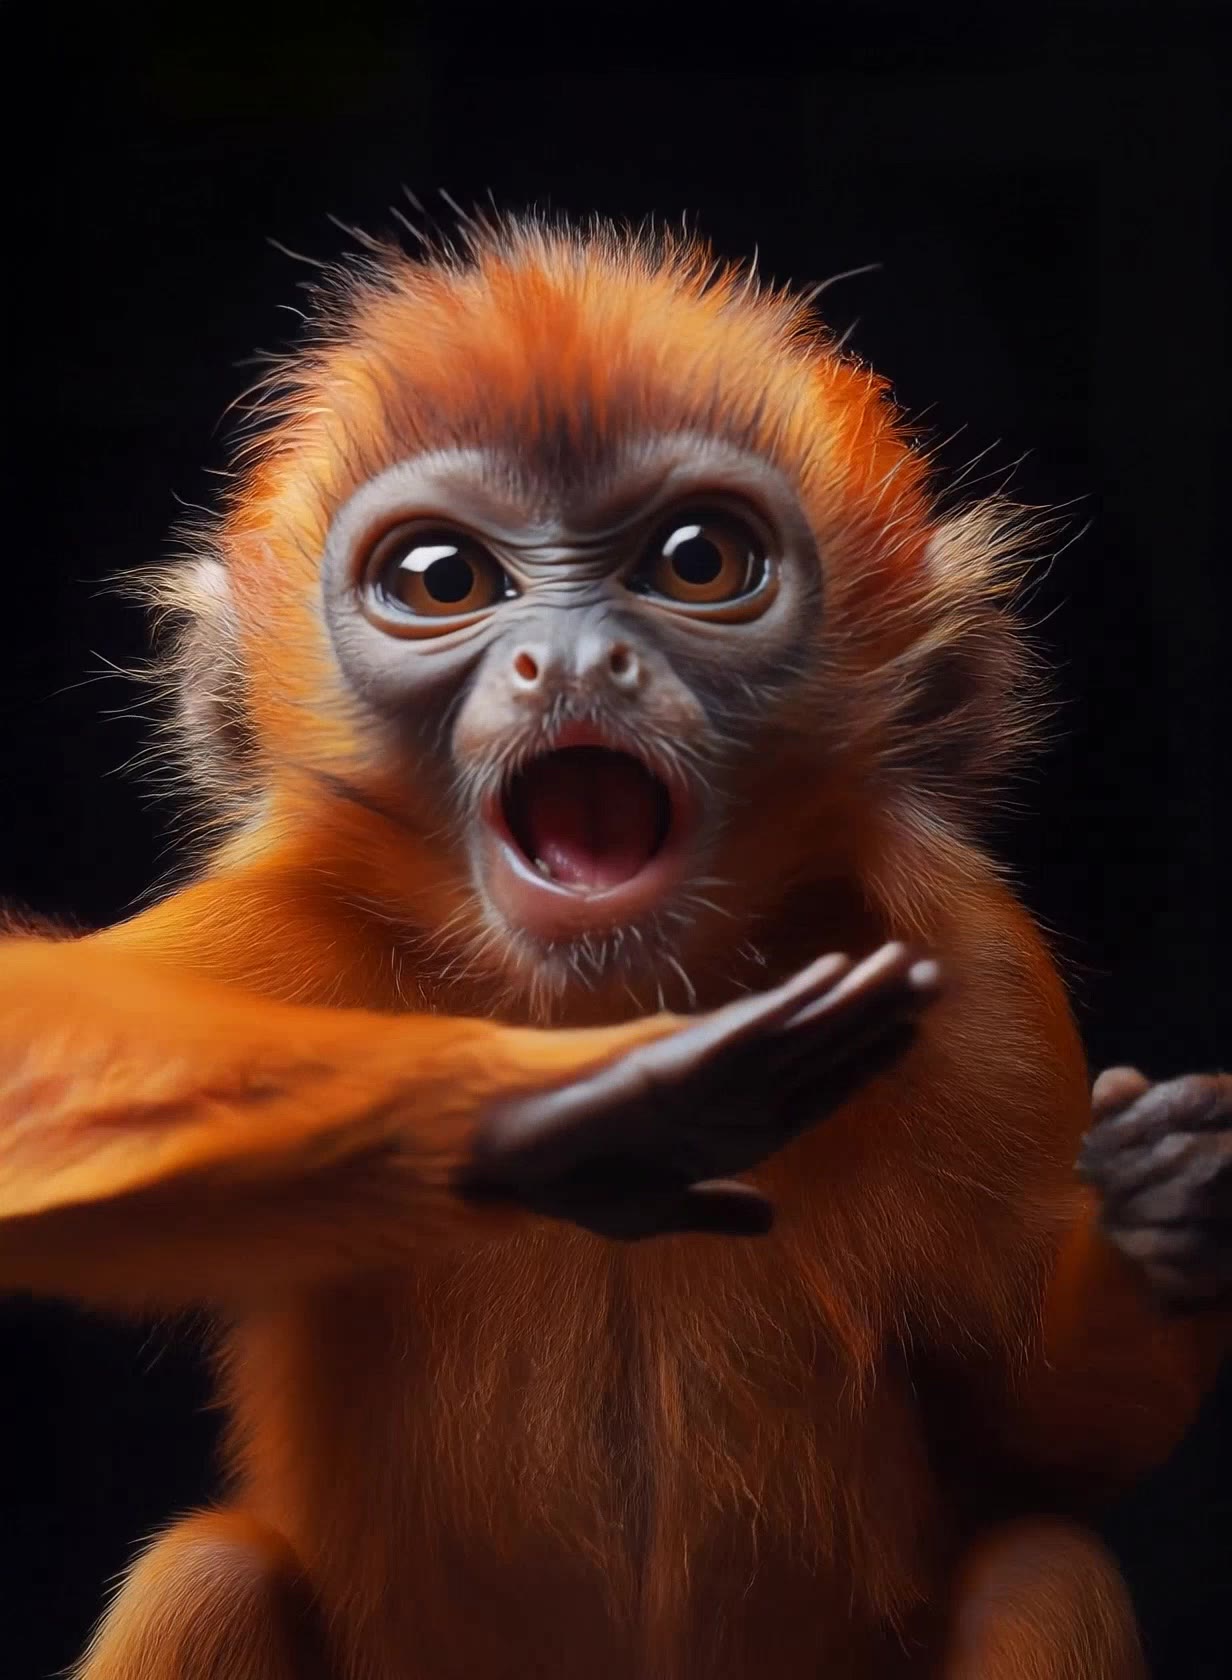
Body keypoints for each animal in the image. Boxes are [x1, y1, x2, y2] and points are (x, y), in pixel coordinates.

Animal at [2, 212, 1229, 1680]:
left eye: (697, 560)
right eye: (442, 580)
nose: (575, 662)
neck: (597, 989)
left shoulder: (970, 968)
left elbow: (1040, 1443)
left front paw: (1166, 1208)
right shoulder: (278, 927)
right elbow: (35, 1083)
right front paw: (583, 1113)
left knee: (1043, 1568)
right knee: (208, 1575)